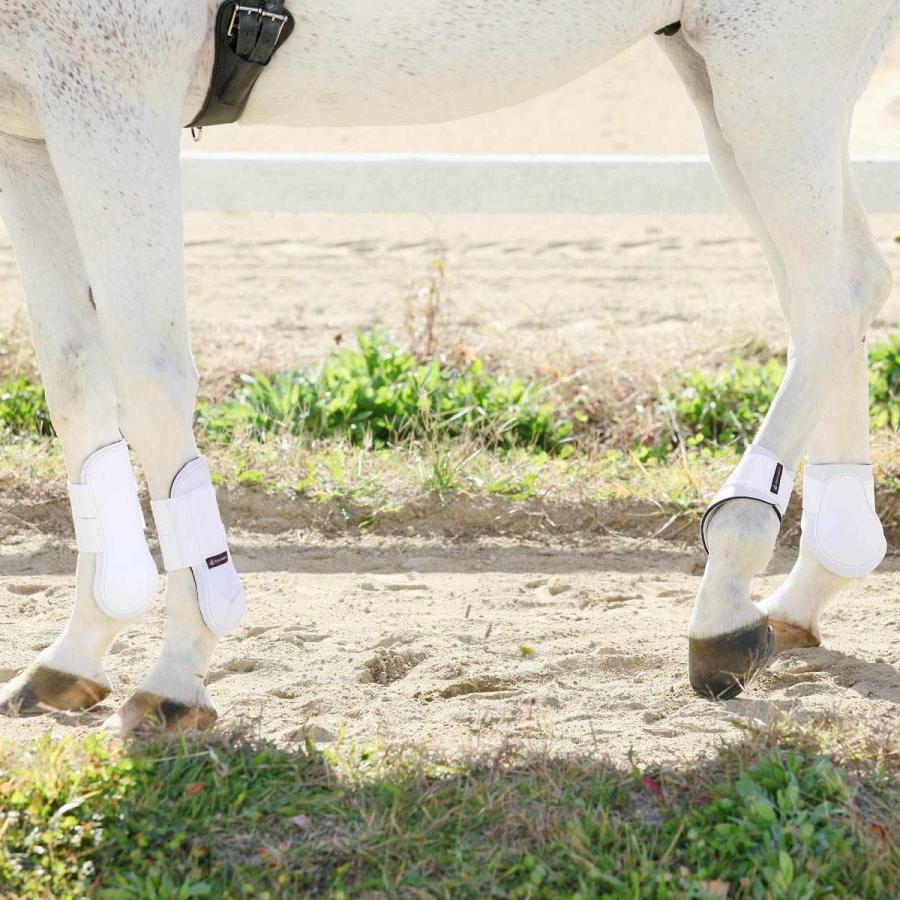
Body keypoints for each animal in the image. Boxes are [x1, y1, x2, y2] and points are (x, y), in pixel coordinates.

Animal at [0, 0, 895, 732]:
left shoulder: (109, 101)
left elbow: (148, 379)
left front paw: (178, 669)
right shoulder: (31, 130)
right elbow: (74, 377)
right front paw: (76, 650)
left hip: (775, 81)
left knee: (833, 294)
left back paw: (726, 601)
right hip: (723, 78)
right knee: (832, 292)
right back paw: (807, 588)